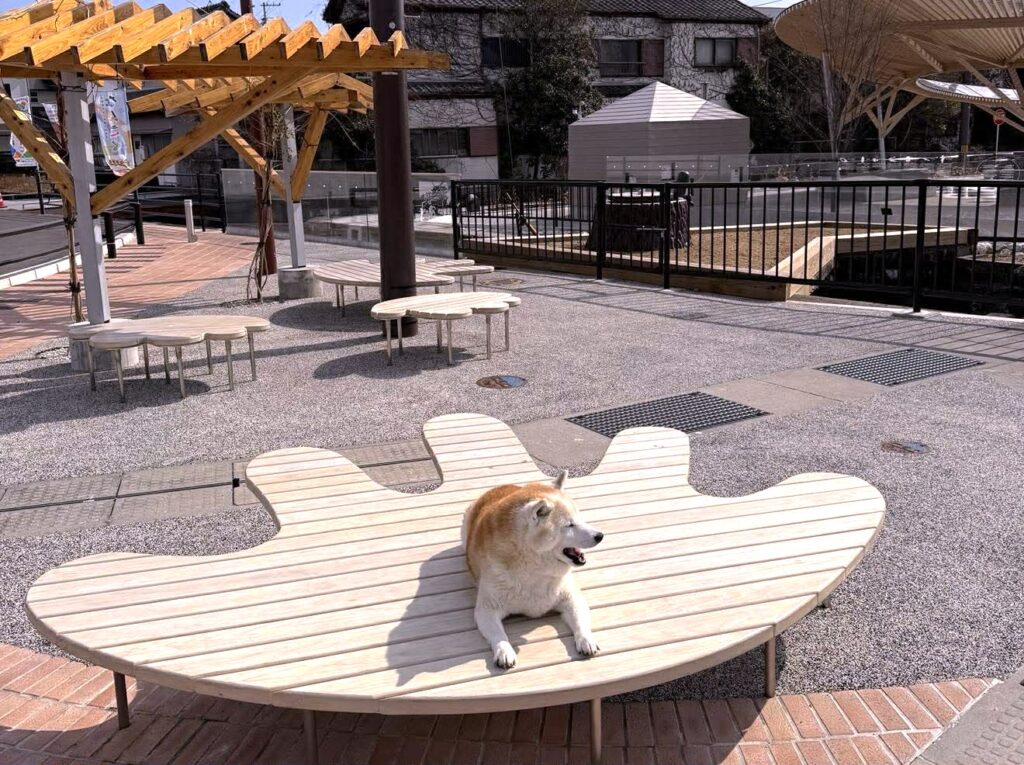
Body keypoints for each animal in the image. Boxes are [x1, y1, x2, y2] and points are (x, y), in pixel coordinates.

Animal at [461, 470, 604, 669]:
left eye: (580, 519)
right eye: (569, 525)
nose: (600, 536)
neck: (535, 567)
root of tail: (503, 486)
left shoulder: (571, 598)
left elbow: (580, 621)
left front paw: (586, 640)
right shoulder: (487, 608)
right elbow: (499, 635)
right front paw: (504, 651)